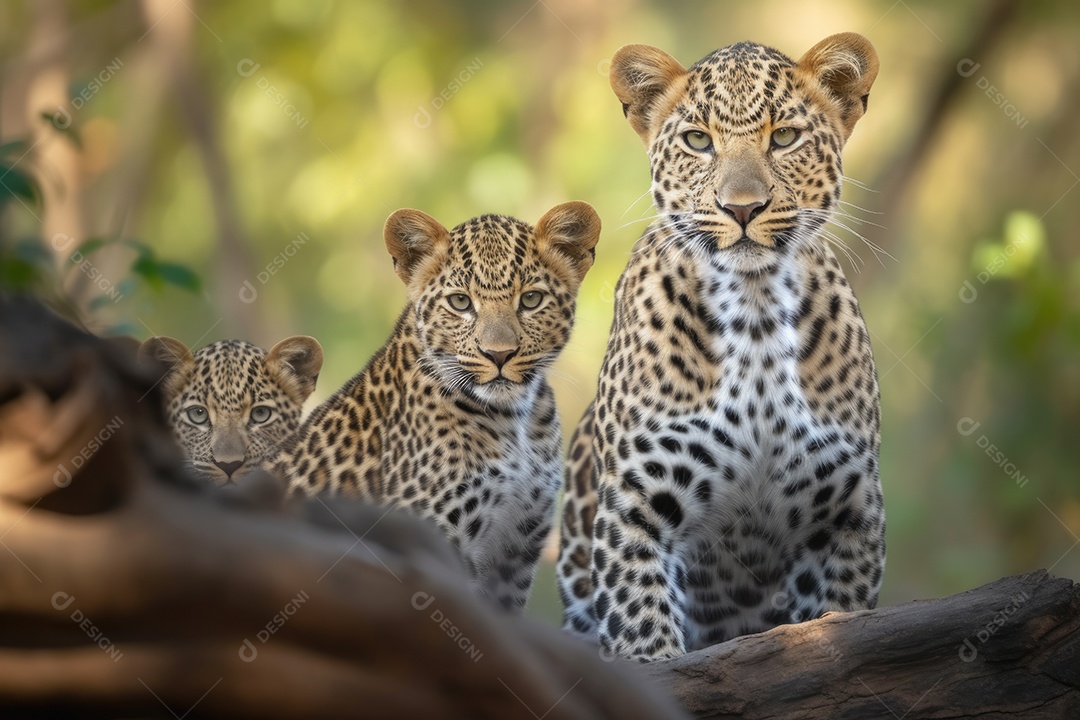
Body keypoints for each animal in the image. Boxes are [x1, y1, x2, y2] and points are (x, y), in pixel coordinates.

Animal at [275, 202, 602, 612]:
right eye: (460, 302)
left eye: (531, 300)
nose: (499, 355)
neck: (517, 419)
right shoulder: (432, 541)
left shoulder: (517, 549)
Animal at [556, 33, 886, 661]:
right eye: (697, 141)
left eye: (784, 137)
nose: (742, 208)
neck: (755, 316)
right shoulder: (633, 510)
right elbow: (645, 637)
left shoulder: (852, 511)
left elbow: (844, 612)